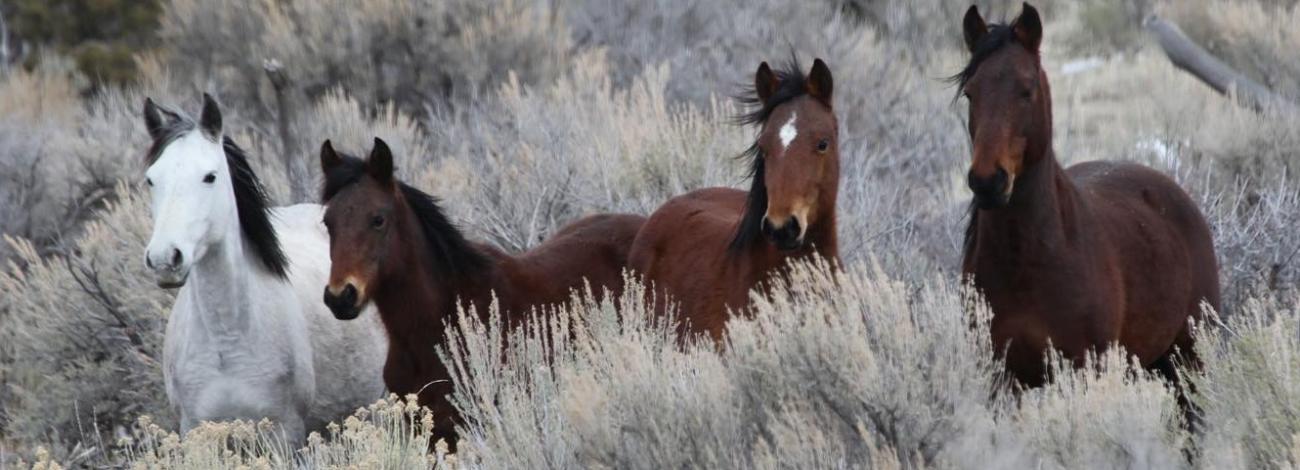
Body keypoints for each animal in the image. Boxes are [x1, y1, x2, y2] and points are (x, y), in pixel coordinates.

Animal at [143, 94, 387, 444]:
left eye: (210, 176)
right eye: (151, 179)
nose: (165, 258)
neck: (227, 342)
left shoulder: (284, 433)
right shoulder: (195, 431)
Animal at [956, 2, 1216, 389]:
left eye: (1026, 90)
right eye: (970, 93)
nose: (988, 182)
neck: (1026, 260)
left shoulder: (1084, 369)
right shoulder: (1001, 379)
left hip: (1189, 361)